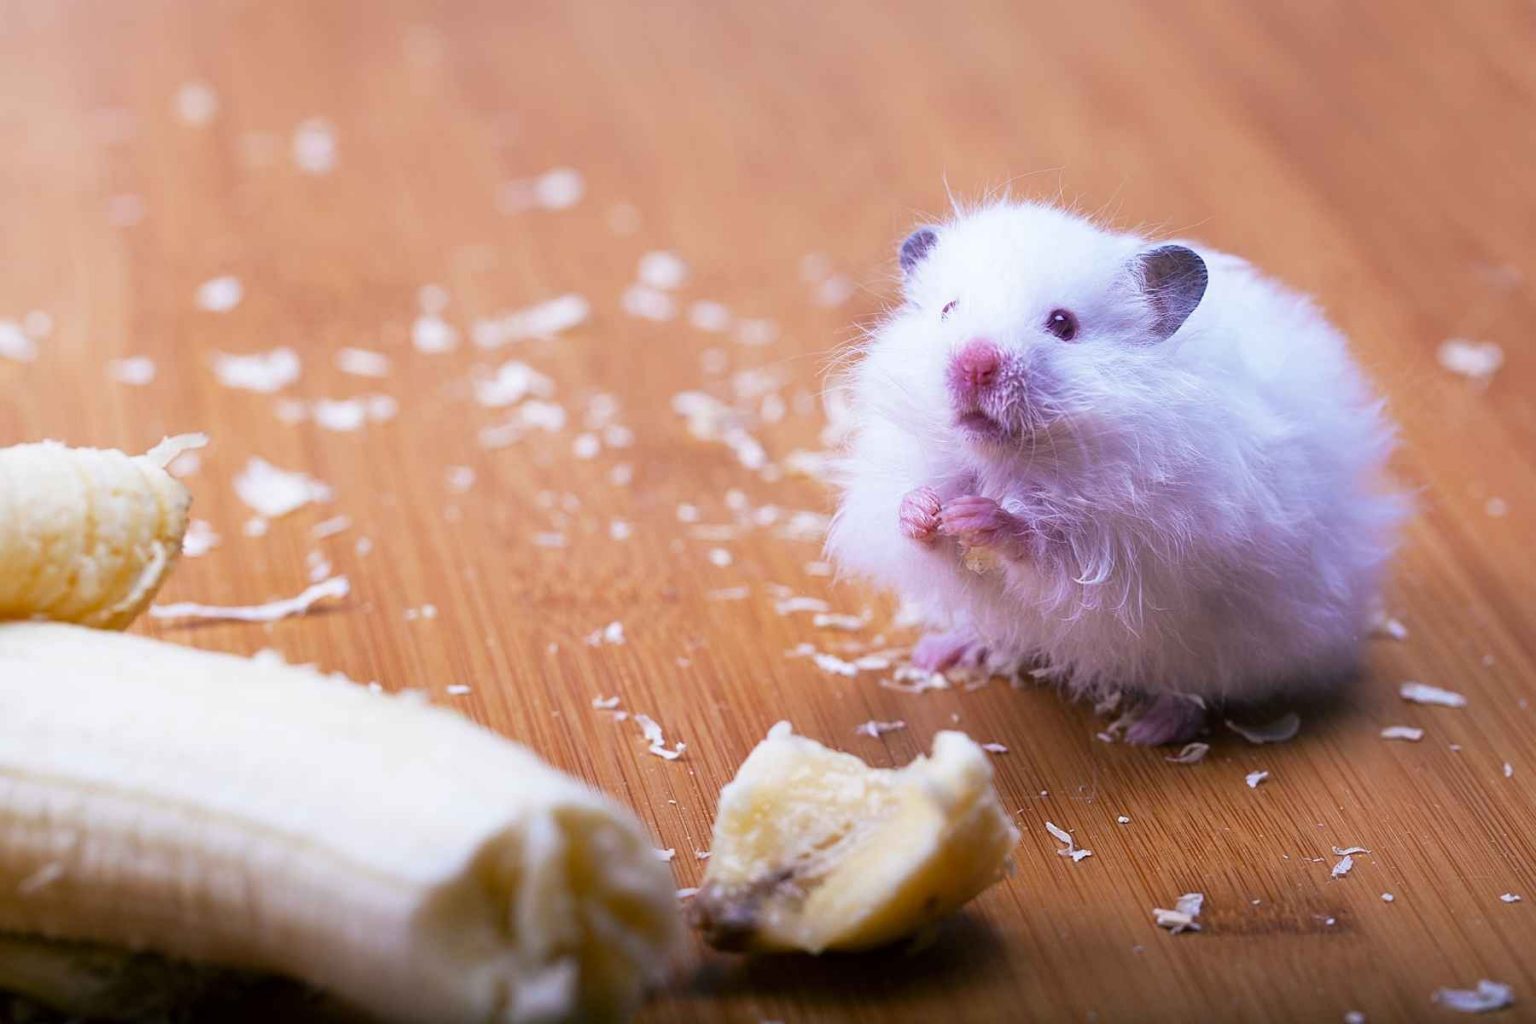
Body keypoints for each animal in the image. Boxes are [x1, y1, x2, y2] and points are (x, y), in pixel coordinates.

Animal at [827, 201, 1403, 745]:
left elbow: (1049, 550)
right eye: (949, 310)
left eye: (1063, 325)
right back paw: (939, 652)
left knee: (1195, 692)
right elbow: (930, 542)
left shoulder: (1135, 548)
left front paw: (980, 518)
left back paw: (1151, 730)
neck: (1010, 459)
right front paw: (924, 510)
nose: (974, 362)